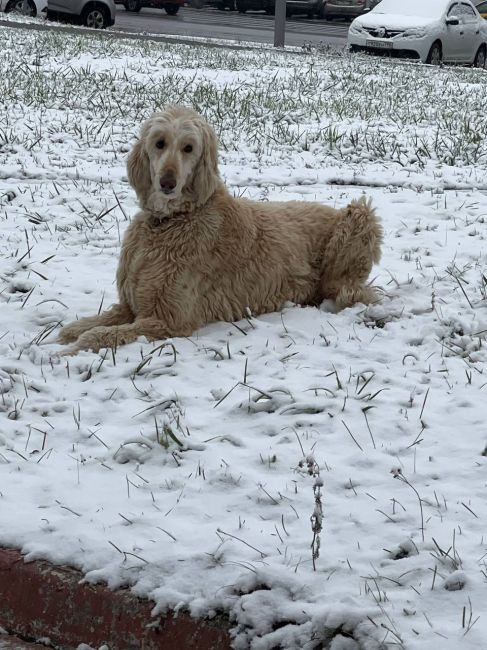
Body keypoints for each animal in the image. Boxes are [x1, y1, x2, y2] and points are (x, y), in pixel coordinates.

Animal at [58, 105, 386, 354]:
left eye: (189, 148)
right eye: (159, 142)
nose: (167, 183)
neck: (171, 221)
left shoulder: (169, 320)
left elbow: (100, 334)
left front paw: (70, 351)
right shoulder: (130, 305)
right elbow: (85, 324)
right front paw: (67, 334)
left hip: (358, 216)